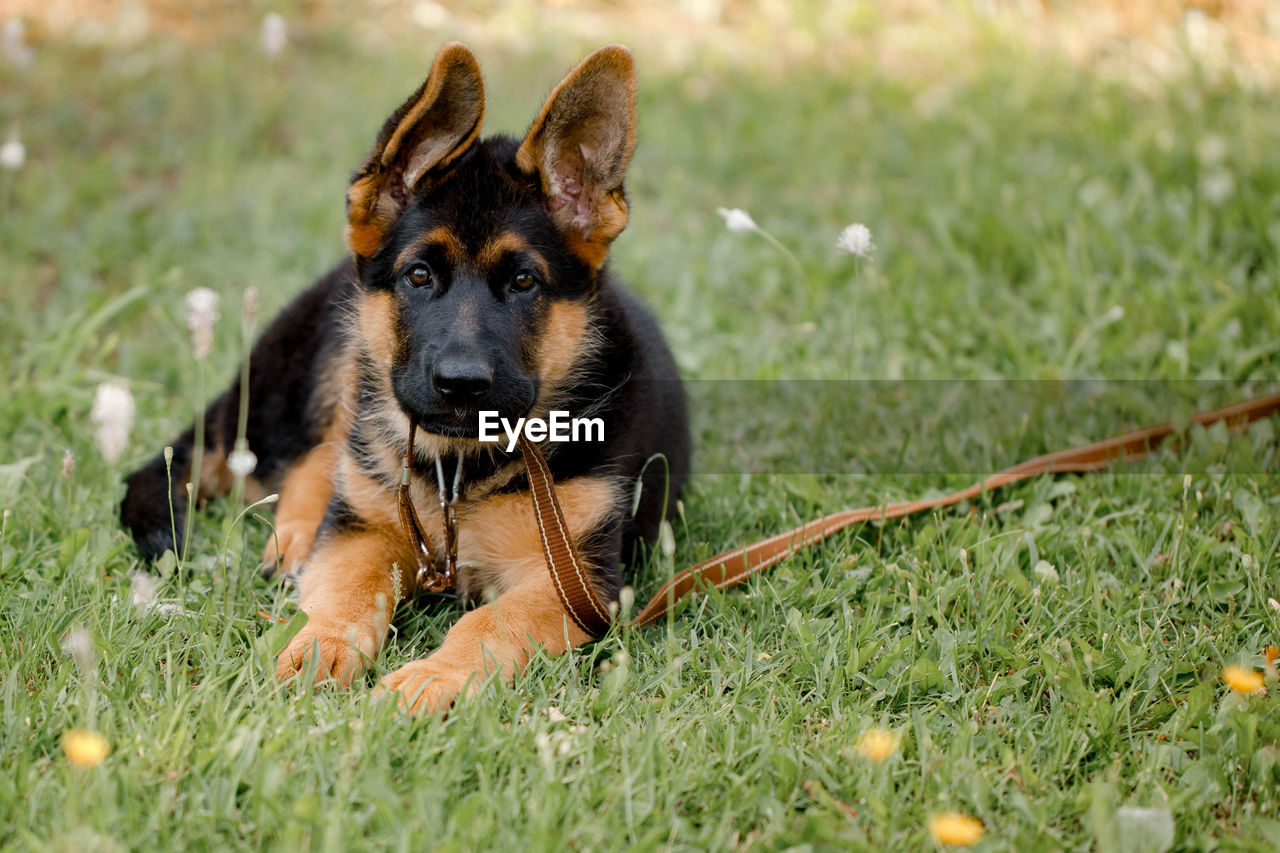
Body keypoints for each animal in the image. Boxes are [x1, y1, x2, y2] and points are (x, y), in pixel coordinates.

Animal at [120, 44, 691, 712]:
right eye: (419, 276)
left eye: (524, 282)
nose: (461, 385)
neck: (458, 472)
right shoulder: (363, 532)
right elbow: (345, 586)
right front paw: (318, 644)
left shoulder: (577, 580)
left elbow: (491, 622)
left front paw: (434, 677)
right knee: (315, 461)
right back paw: (295, 543)